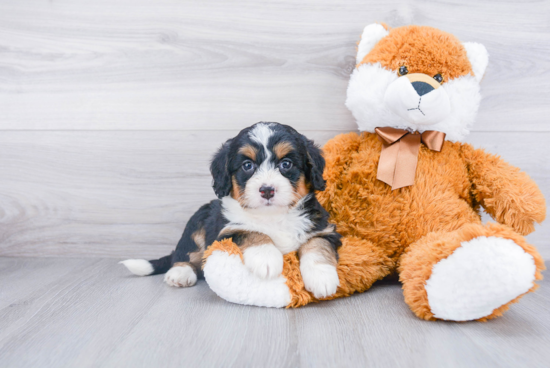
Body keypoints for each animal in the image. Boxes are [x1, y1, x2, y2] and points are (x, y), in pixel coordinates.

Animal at [123, 122, 342, 300]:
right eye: (247, 165)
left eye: (286, 164)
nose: (267, 190)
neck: (273, 216)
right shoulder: (225, 232)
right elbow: (251, 232)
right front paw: (266, 258)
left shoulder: (323, 228)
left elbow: (318, 244)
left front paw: (322, 277)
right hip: (197, 221)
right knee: (185, 253)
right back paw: (180, 273)